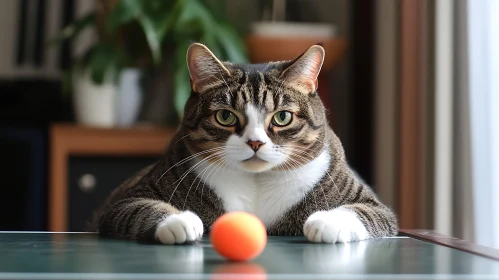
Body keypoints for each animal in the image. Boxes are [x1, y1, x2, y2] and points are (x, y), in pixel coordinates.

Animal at [93, 42, 398, 244]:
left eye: (282, 117)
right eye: (225, 116)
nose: (255, 142)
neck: (257, 182)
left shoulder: (370, 202)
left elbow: (365, 212)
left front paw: (326, 222)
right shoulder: (128, 198)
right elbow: (139, 208)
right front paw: (179, 220)